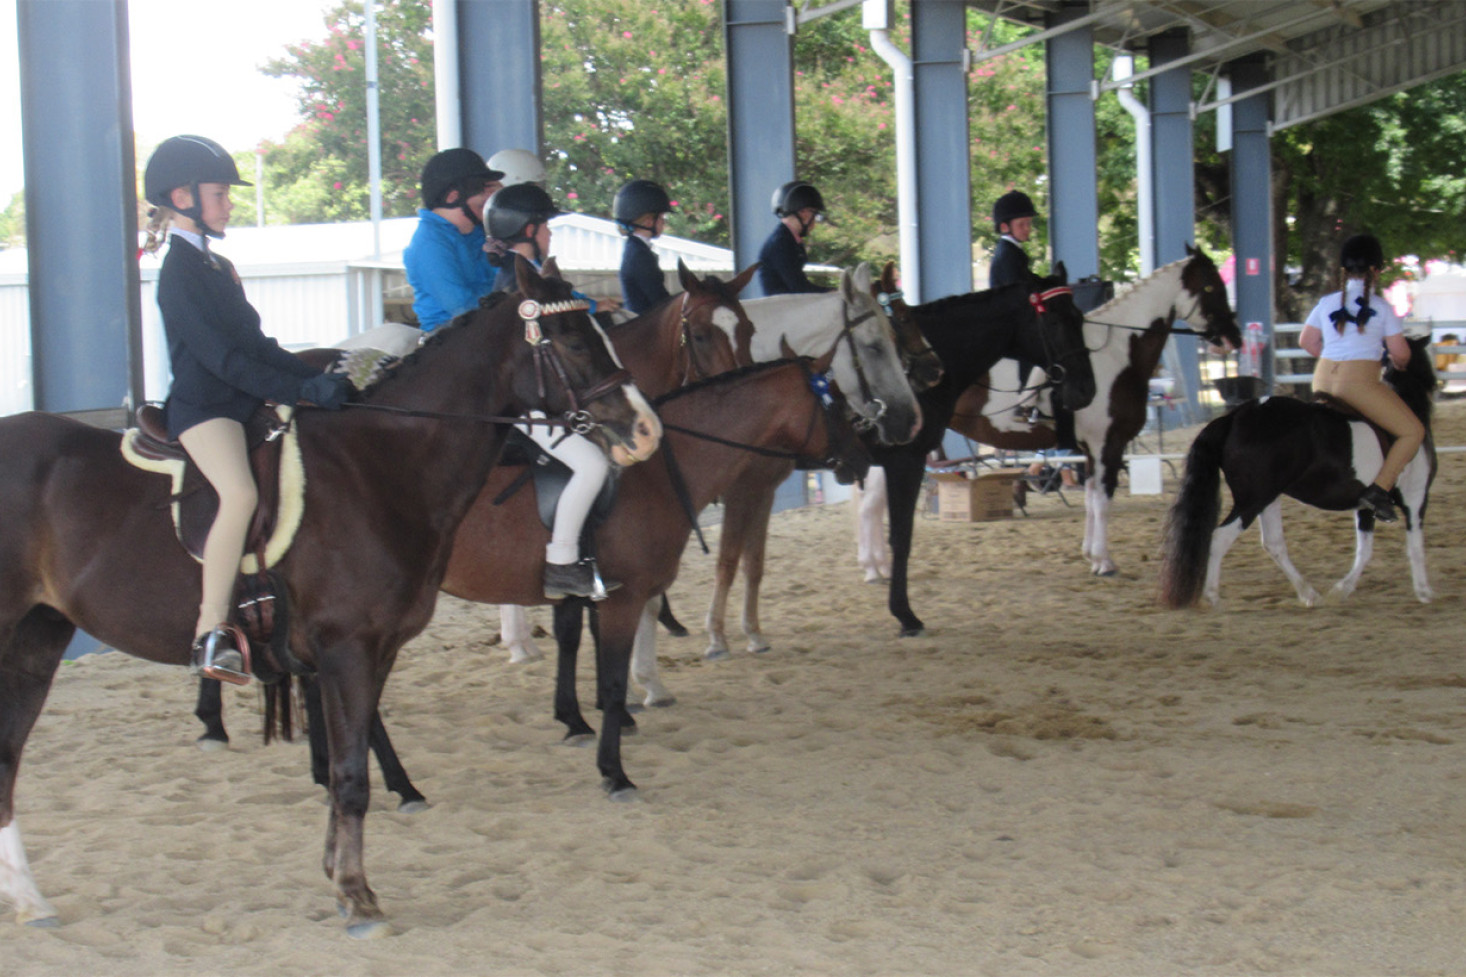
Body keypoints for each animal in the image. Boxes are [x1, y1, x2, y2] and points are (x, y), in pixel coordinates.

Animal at [0, 255, 659, 932]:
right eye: (575, 343)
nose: (646, 431)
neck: (379, 465)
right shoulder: (349, 648)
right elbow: (348, 775)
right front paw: (356, 894)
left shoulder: (378, 648)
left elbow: (353, 759)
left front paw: (338, 873)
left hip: (37, 640)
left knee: (7, 759)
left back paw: (30, 900)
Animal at [856, 244, 1249, 577]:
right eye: (1211, 287)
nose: (1233, 338)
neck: (1118, 355)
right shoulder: (1107, 445)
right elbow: (1102, 499)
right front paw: (1104, 562)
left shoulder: (1092, 448)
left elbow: (1090, 498)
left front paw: (1090, 554)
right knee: (871, 503)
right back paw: (875, 568)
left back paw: (877, 566)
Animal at [1161, 334, 1436, 610]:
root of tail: (1235, 416)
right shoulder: (1415, 500)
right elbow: (1415, 547)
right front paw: (1424, 592)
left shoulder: (1366, 506)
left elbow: (1365, 552)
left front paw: (1340, 591)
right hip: (1252, 501)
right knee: (1220, 537)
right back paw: (1214, 598)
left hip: (1267, 498)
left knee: (1273, 544)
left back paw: (1308, 594)